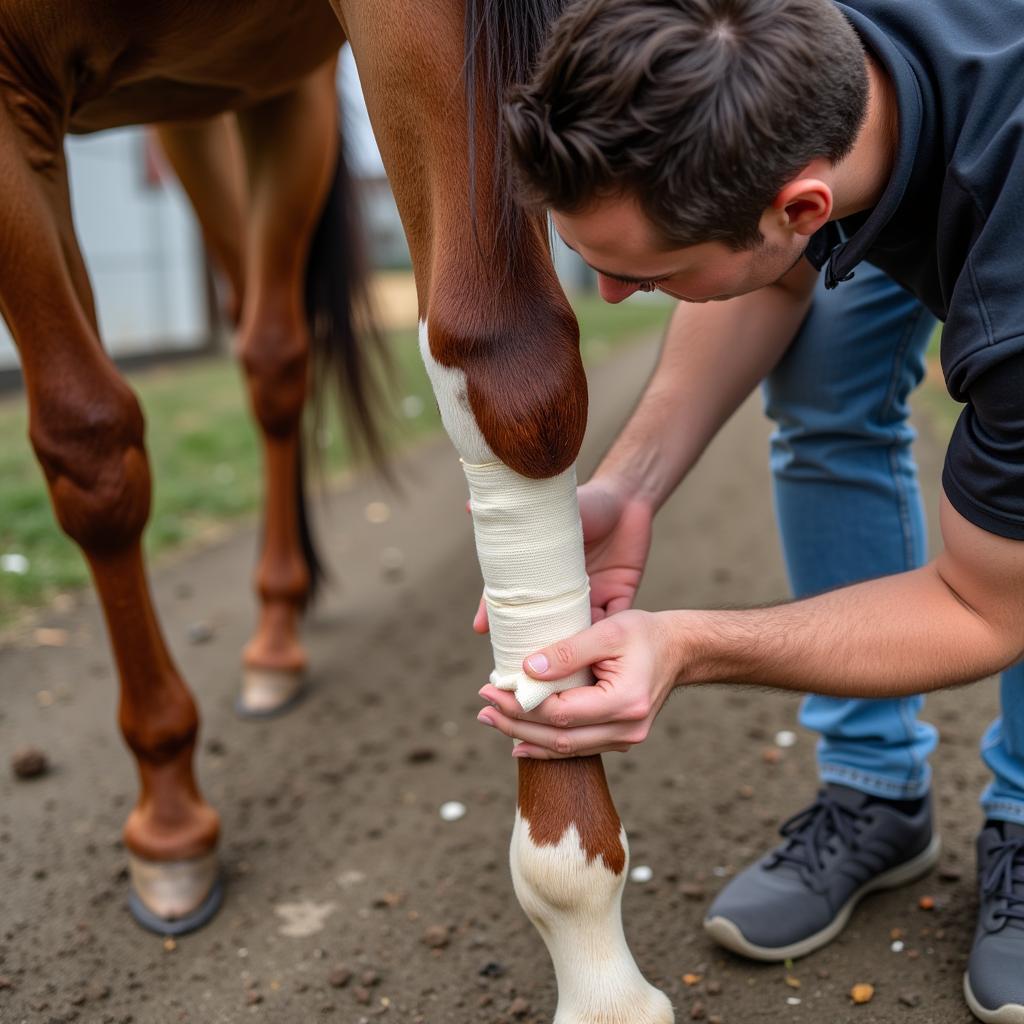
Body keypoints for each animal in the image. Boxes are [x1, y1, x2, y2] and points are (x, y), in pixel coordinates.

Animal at [4, 4, 675, 1019]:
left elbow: (512, 368)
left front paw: (593, 952)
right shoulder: (16, 105)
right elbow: (87, 441)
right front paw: (169, 817)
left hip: (257, 102)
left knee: (272, 351)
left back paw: (277, 633)